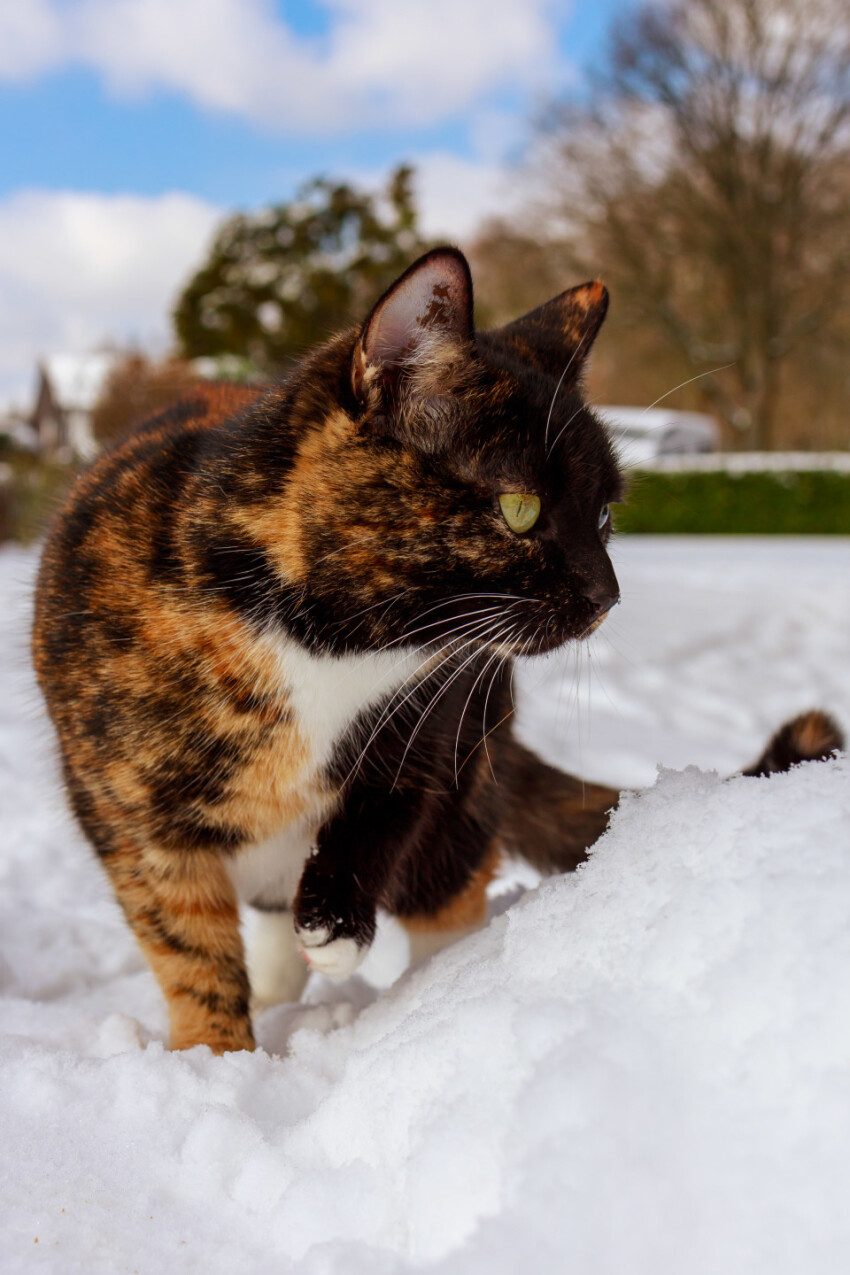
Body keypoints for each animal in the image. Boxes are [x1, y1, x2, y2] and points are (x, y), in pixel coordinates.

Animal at [31, 243, 846, 1050]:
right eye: (519, 508)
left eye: (604, 516)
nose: (607, 594)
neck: (329, 644)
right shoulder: (128, 810)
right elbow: (189, 948)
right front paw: (216, 1058)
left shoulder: (442, 711)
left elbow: (389, 798)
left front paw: (334, 923)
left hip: (468, 794)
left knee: (448, 892)